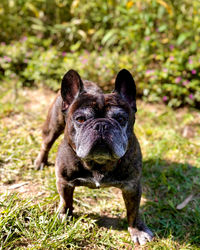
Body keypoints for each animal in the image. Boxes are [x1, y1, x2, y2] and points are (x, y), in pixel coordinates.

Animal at [34, 68, 153, 244]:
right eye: (80, 119)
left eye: (120, 118)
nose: (101, 125)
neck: (99, 162)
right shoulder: (64, 181)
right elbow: (66, 200)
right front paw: (64, 215)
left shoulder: (132, 187)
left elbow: (133, 211)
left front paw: (137, 230)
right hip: (53, 125)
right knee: (46, 143)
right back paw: (40, 161)